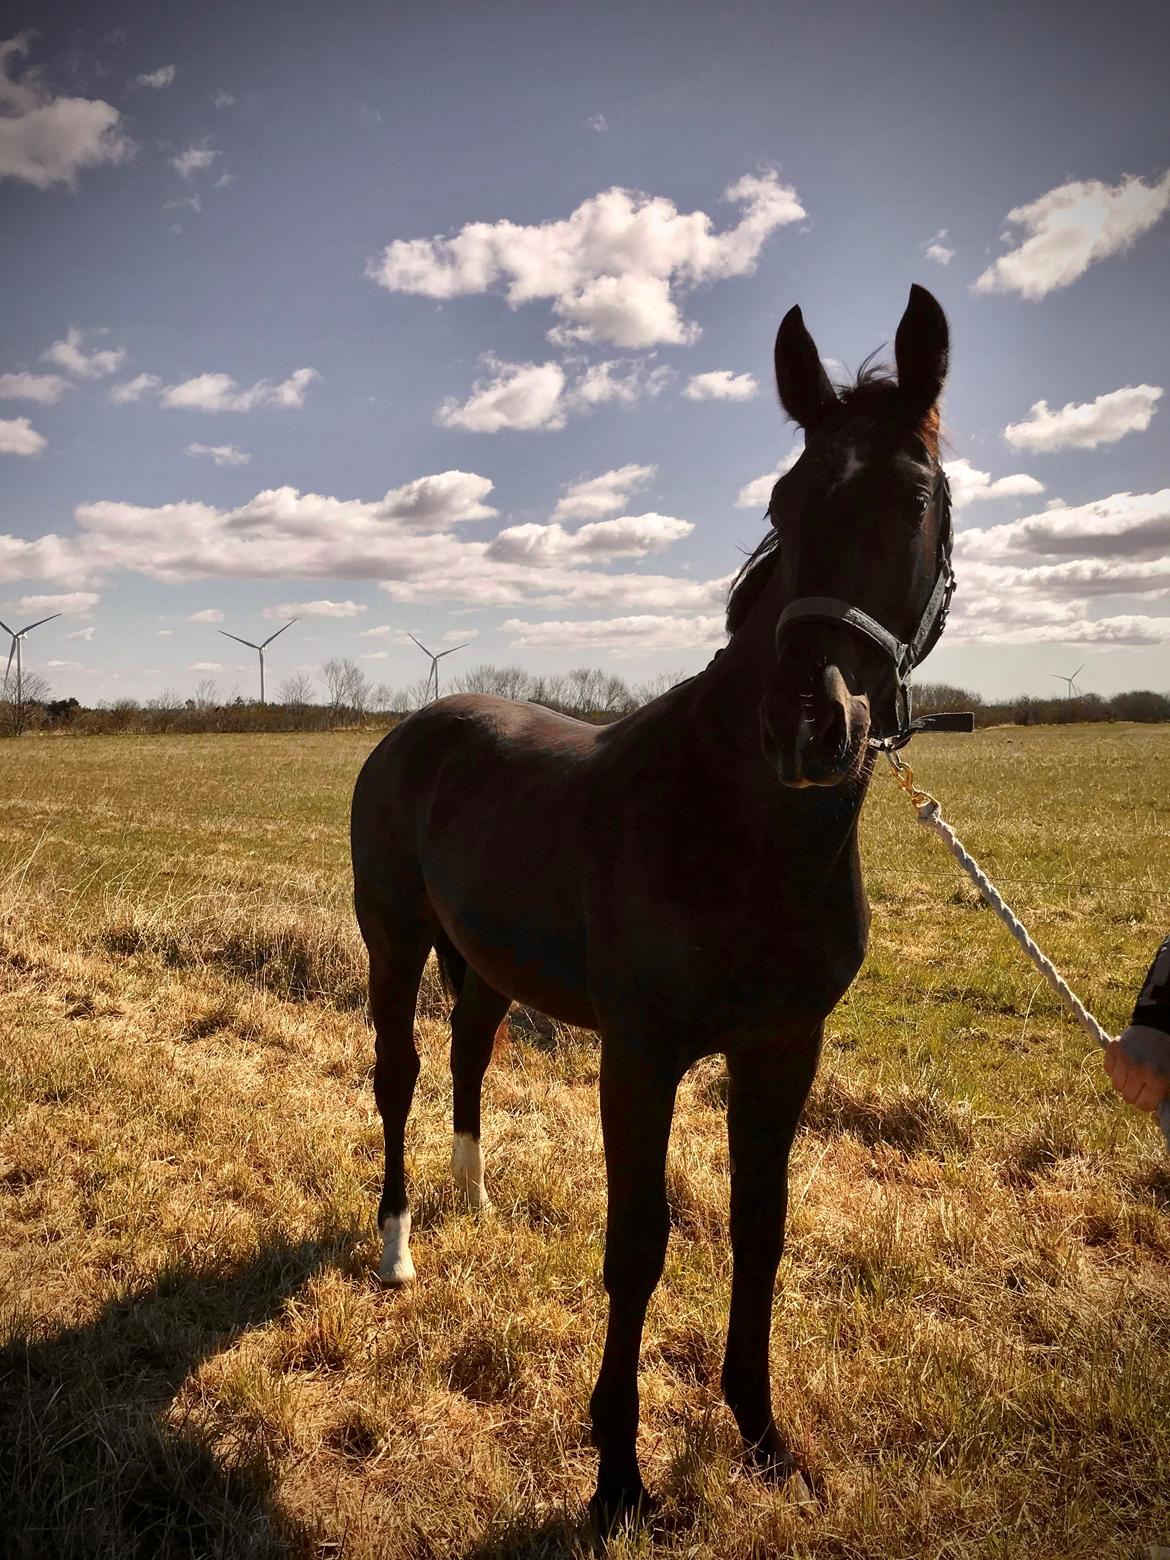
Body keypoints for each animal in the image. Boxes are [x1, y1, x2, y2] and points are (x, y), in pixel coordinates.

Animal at [352, 287, 954, 1516]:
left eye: (914, 494)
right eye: (782, 500)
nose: (810, 726)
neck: (743, 829)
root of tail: (412, 728)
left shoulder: (784, 1049)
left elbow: (761, 1231)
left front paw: (764, 1436)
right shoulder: (640, 1057)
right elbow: (637, 1245)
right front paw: (619, 1478)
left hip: (486, 961)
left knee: (472, 1055)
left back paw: (475, 1204)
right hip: (394, 942)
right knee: (401, 1076)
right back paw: (398, 1251)